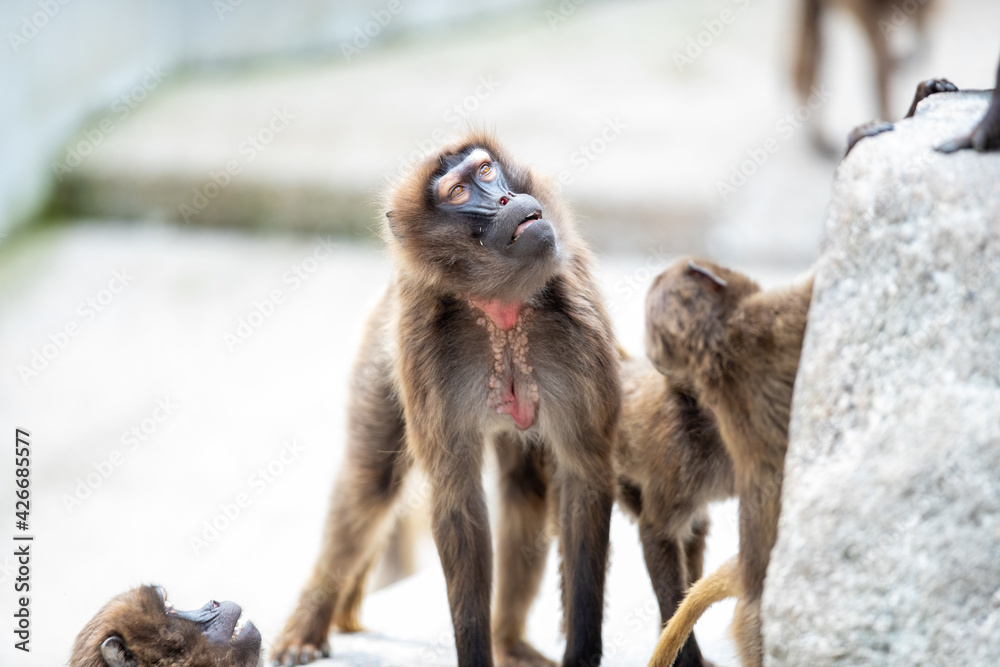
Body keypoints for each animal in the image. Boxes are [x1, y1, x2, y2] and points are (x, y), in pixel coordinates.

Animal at [270, 132, 620, 667]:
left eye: (486, 171)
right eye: (458, 193)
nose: (505, 199)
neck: (501, 309)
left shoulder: (578, 320)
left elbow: (583, 477)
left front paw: (580, 654)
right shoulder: (423, 344)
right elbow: (459, 502)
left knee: (524, 487)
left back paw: (509, 641)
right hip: (384, 348)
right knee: (369, 483)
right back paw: (309, 625)